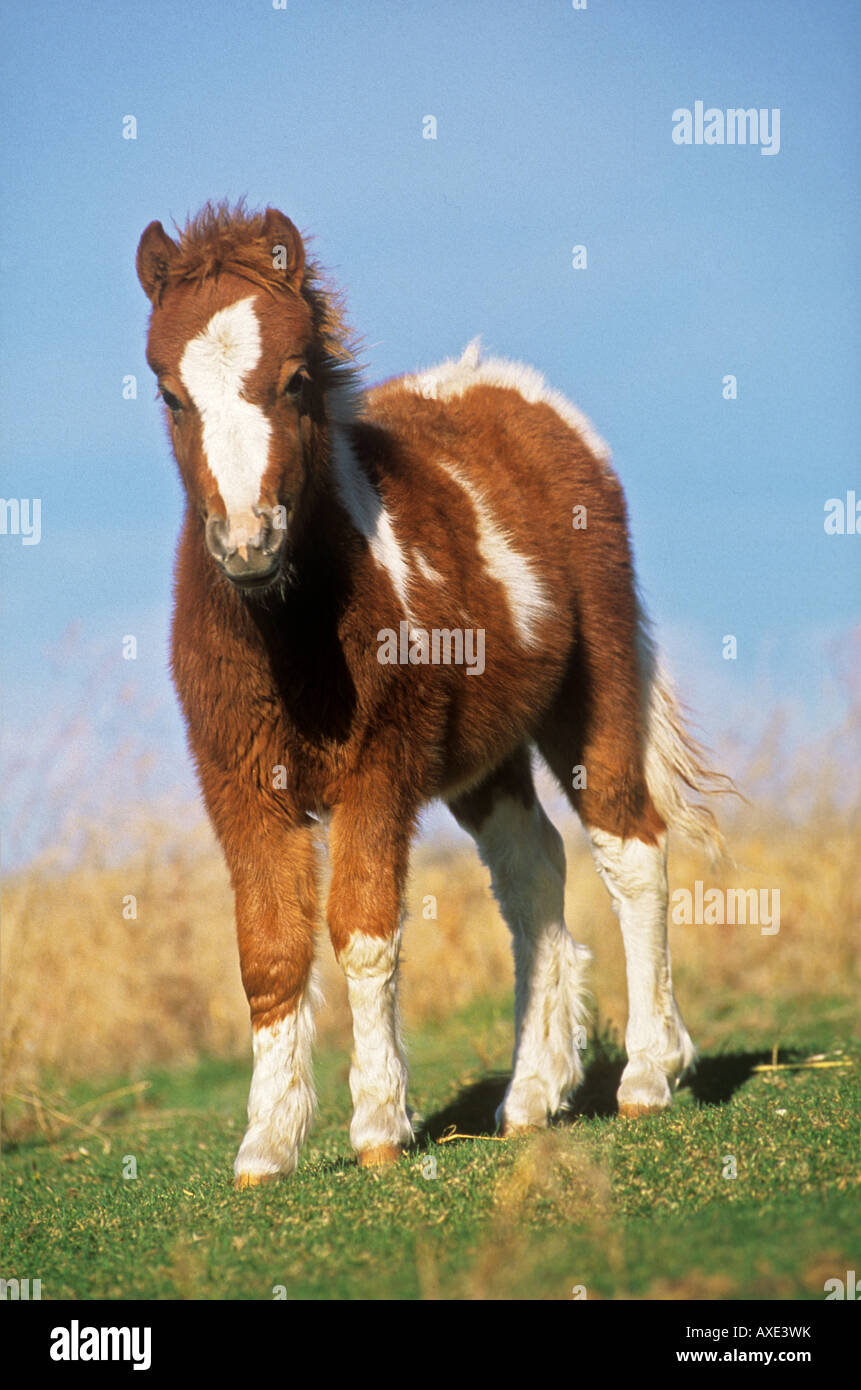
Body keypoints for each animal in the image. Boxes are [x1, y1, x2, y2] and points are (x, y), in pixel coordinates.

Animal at [137, 202, 728, 1187]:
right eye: (169, 394)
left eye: (295, 380)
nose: (248, 544)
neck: (293, 632)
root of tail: (521, 396)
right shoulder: (241, 785)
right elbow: (269, 950)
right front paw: (266, 1144)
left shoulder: (380, 769)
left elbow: (362, 930)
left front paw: (378, 1124)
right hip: (483, 757)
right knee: (532, 873)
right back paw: (531, 1098)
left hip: (593, 687)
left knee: (628, 846)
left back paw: (648, 1073)